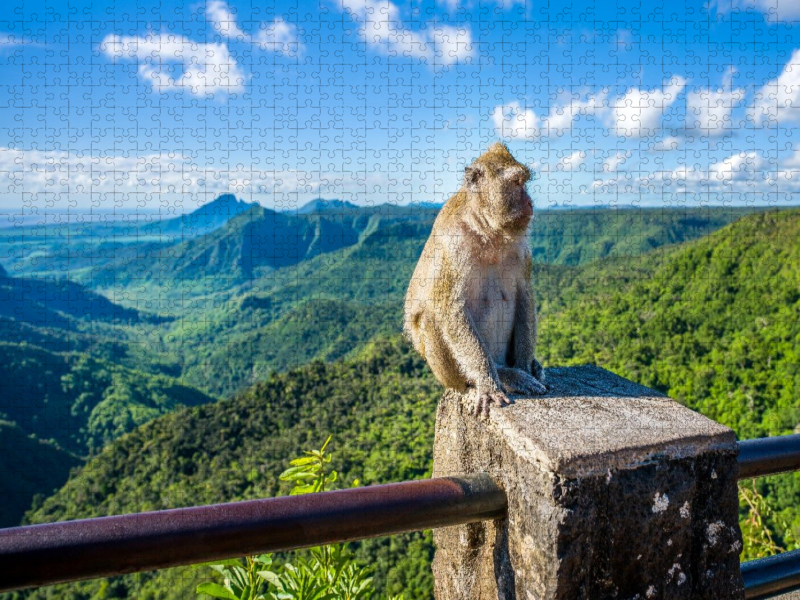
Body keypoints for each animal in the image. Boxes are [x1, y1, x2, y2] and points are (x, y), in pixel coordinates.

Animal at [403, 142, 546, 417]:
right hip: (450, 375)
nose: (531, 202)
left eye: (524, 182)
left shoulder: (521, 248)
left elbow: (525, 295)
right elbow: (450, 308)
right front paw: (488, 384)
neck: (487, 231)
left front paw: (525, 367)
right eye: (516, 183)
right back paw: (495, 377)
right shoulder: (453, 245)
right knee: (428, 318)